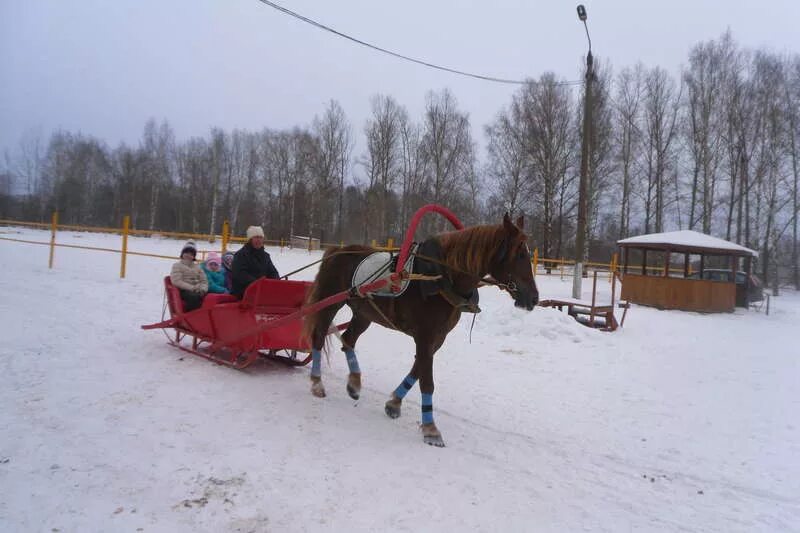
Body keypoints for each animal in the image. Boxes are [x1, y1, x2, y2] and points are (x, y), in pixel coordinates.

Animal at [300, 212, 536, 444]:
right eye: (519, 255)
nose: (533, 298)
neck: (441, 278)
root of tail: (337, 250)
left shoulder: (437, 339)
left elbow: (417, 371)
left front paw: (394, 403)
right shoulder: (425, 336)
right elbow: (427, 381)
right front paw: (431, 429)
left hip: (364, 313)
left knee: (348, 339)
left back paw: (354, 383)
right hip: (330, 304)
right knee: (319, 338)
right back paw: (317, 383)